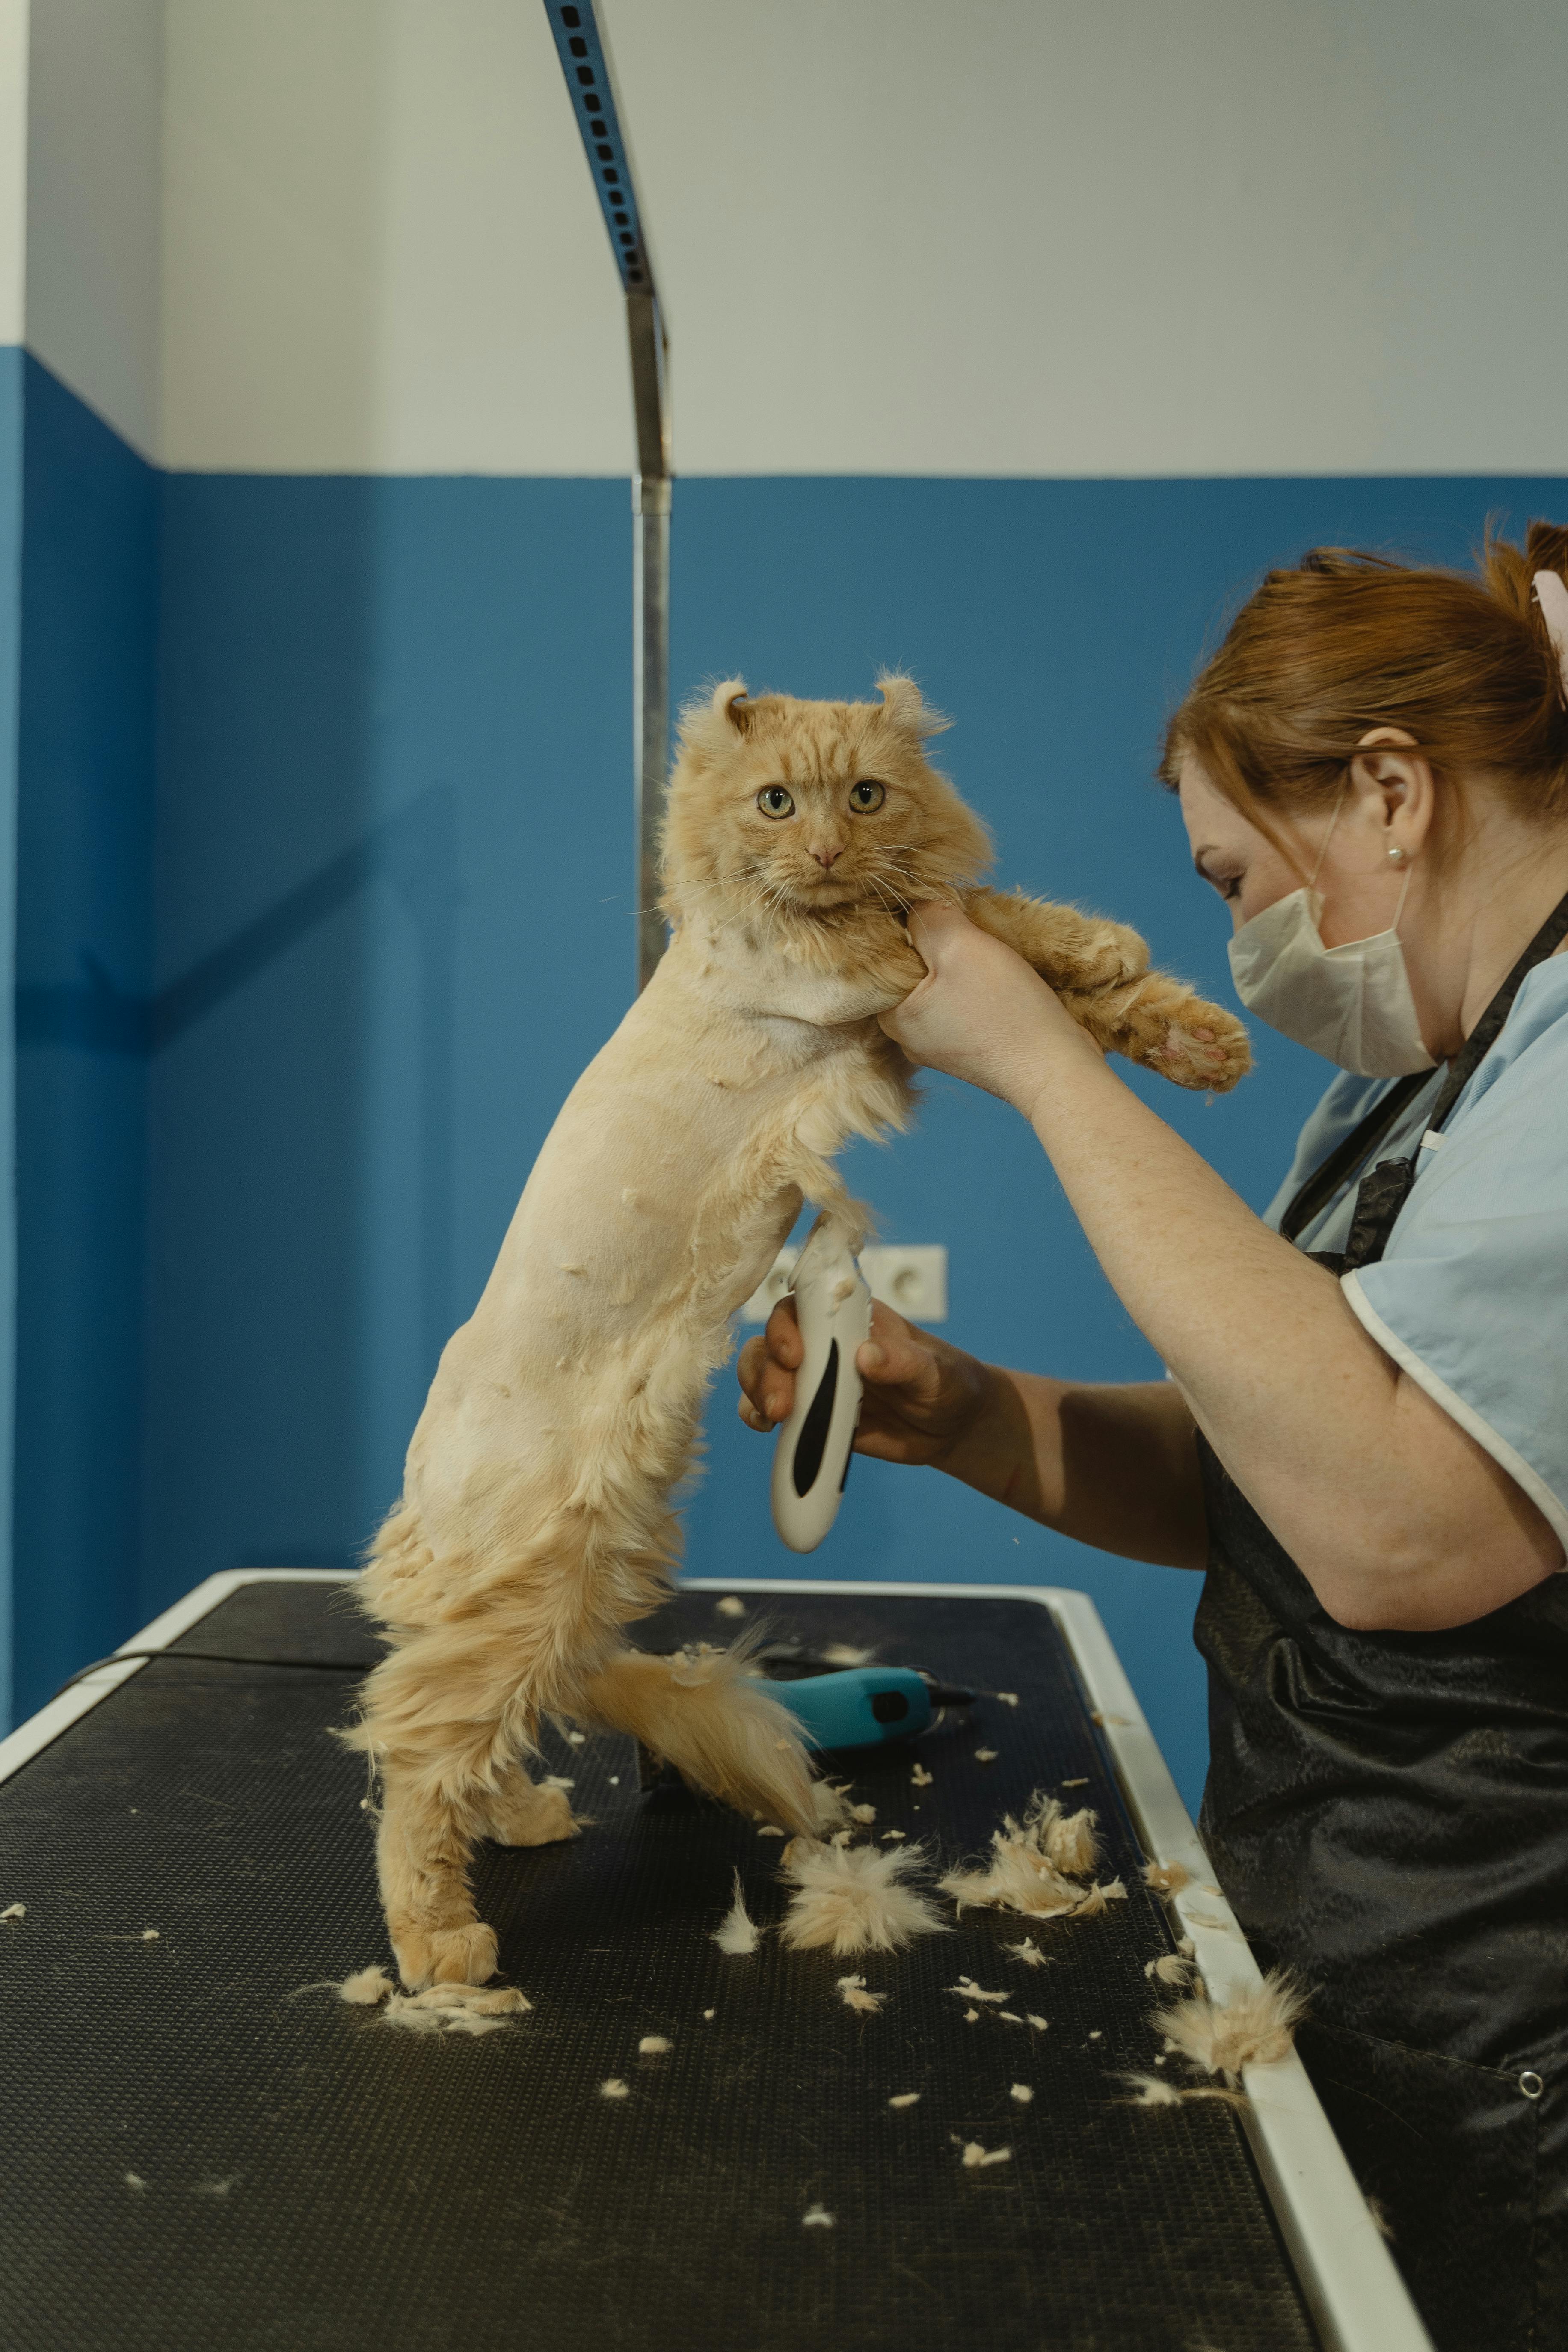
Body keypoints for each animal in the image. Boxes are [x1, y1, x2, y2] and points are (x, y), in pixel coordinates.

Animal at [345, 677, 1251, 1985]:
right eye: (776, 801)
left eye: (865, 795)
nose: (822, 849)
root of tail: (420, 1489)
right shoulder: (854, 971)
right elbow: (966, 910)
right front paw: (1102, 950)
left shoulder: (882, 981)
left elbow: (1051, 974)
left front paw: (1192, 1034)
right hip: (538, 1580)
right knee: (417, 1756)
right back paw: (441, 1945)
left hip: (552, 1598)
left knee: (470, 1737)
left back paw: (518, 1824)